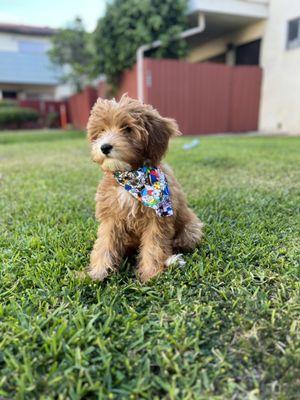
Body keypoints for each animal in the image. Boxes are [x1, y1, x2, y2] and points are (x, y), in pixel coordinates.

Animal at [86, 94, 204, 282]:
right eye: (101, 130)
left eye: (127, 129)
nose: (104, 147)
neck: (131, 177)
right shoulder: (111, 216)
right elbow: (105, 243)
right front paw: (98, 272)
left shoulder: (157, 219)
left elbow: (154, 246)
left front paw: (150, 274)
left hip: (191, 229)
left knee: (179, 243)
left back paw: (172, 260)